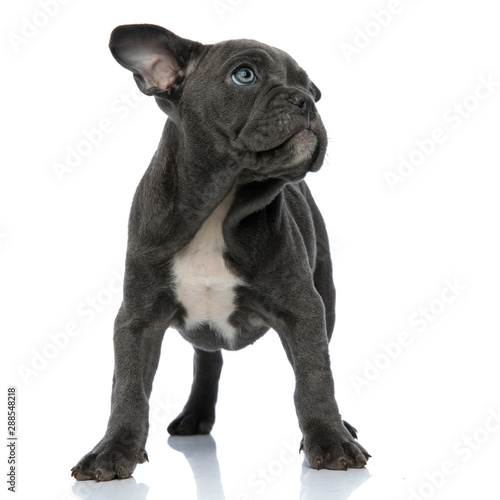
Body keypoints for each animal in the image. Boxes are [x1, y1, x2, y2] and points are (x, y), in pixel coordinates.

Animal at [70, 23, 370, 480]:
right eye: (244, 76)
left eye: (314, 91)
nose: (305, 101)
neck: (219, 206)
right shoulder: (138, 318)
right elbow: (128, 387)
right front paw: (113, 450)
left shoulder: (304, 309)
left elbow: (315, 376)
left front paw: (331, 440)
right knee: (207, 360)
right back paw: (196, 415)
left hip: (327, 294)